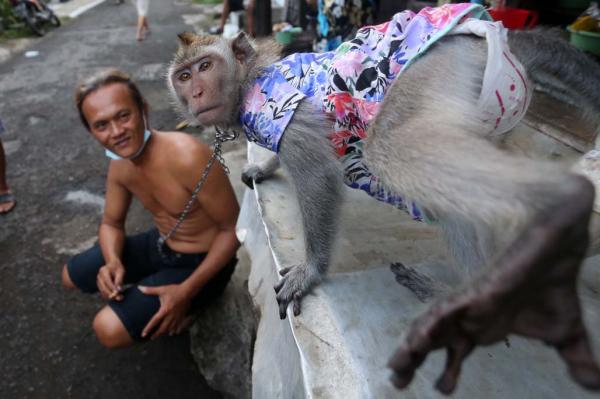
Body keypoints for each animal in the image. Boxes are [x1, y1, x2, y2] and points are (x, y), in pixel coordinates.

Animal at [168, 4, 600, 396]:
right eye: (185, 76)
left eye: (205, 66)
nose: (197, 92)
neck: (251, 75)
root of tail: (489, 32)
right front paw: (264, 167)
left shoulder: (282, 107)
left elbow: (318, 174)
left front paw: (311, 271)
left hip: (442, 64)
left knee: (396, 148)